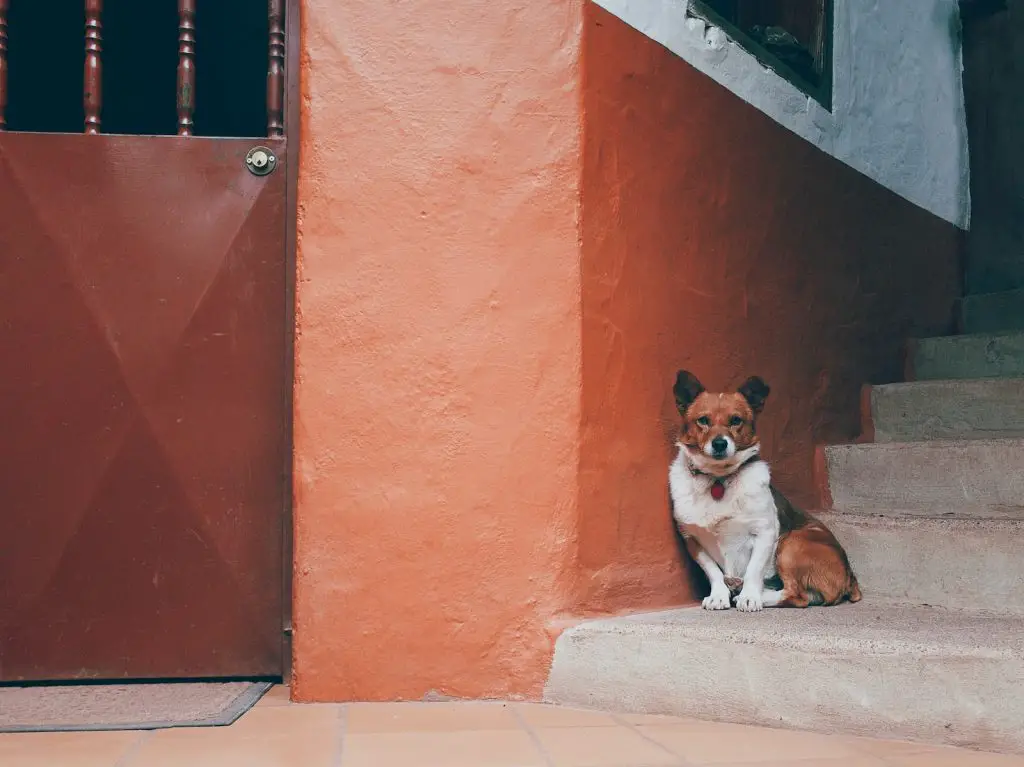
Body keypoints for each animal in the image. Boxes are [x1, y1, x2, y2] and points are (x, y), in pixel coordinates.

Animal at [667, 368, 860, 610]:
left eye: (736, 420)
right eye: (703, 420)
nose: (720, 444)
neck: (718, 479)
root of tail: (850, 576)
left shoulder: (765, 532)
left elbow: (753, 570)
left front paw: (750, 596)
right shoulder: (692, 539)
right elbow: (714, 572)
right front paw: (719, 595)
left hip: (791, 543)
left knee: (798, 595)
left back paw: (754, 595)